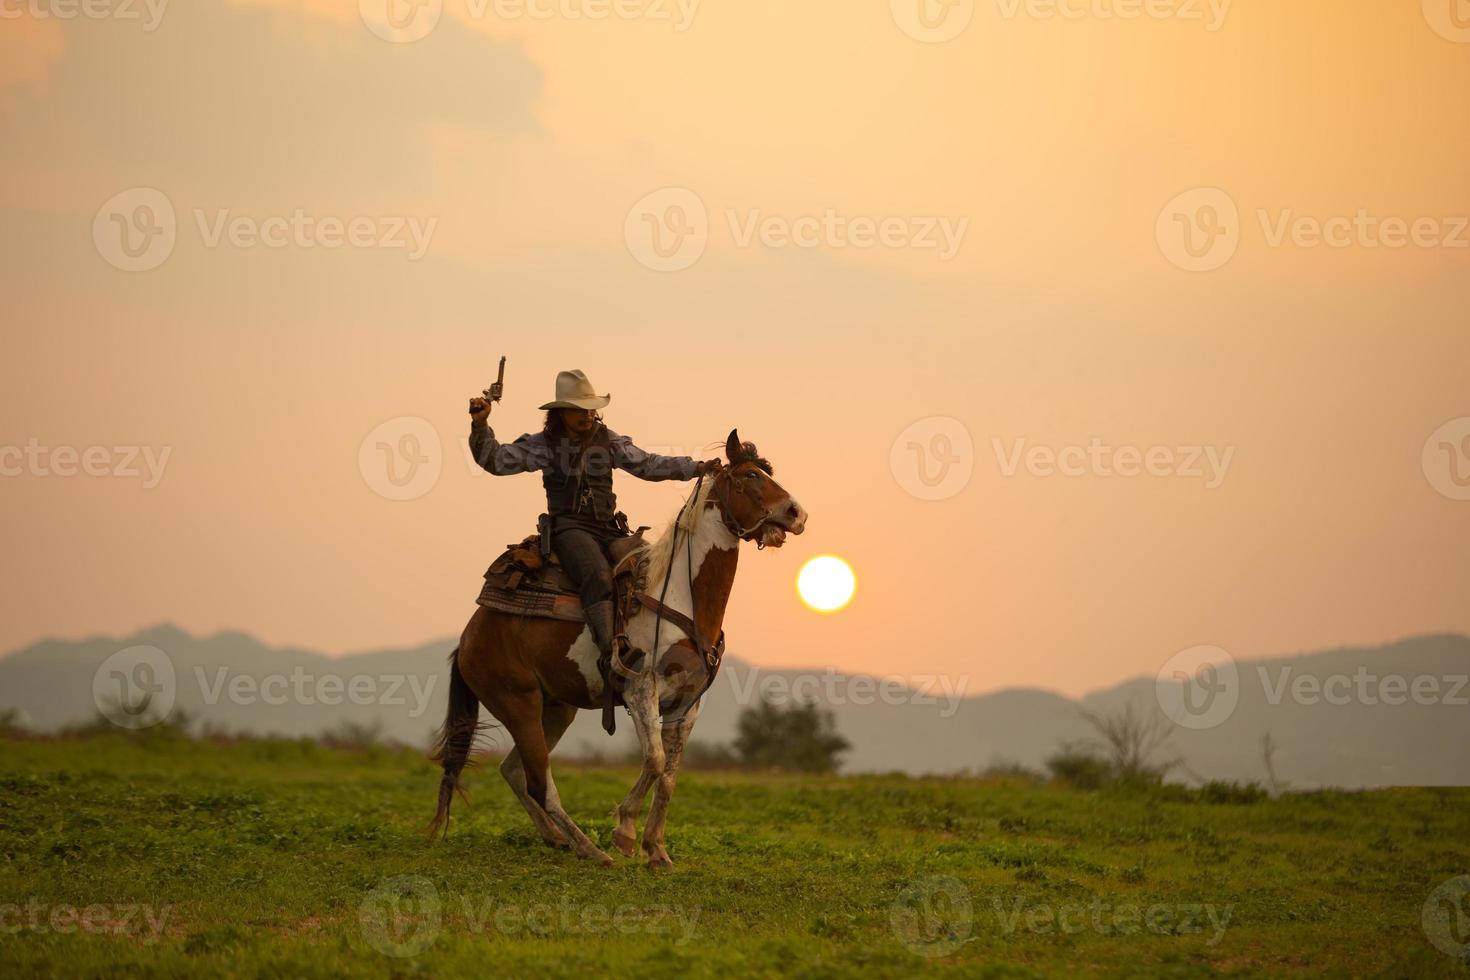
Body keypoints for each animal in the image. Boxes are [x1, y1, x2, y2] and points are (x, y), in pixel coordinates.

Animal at [429, 429, 811, 863]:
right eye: (749, 475)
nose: (797, 513)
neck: (680, 596)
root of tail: (470, 636)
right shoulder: (641, 691)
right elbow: (655, 761)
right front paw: (626, 831)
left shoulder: (687, 704)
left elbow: (669, 777)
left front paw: (657, 851)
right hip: (518, 703)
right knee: (540, 781)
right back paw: (592, 851)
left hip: (556, 708)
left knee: (515, 771)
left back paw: (559, 840)